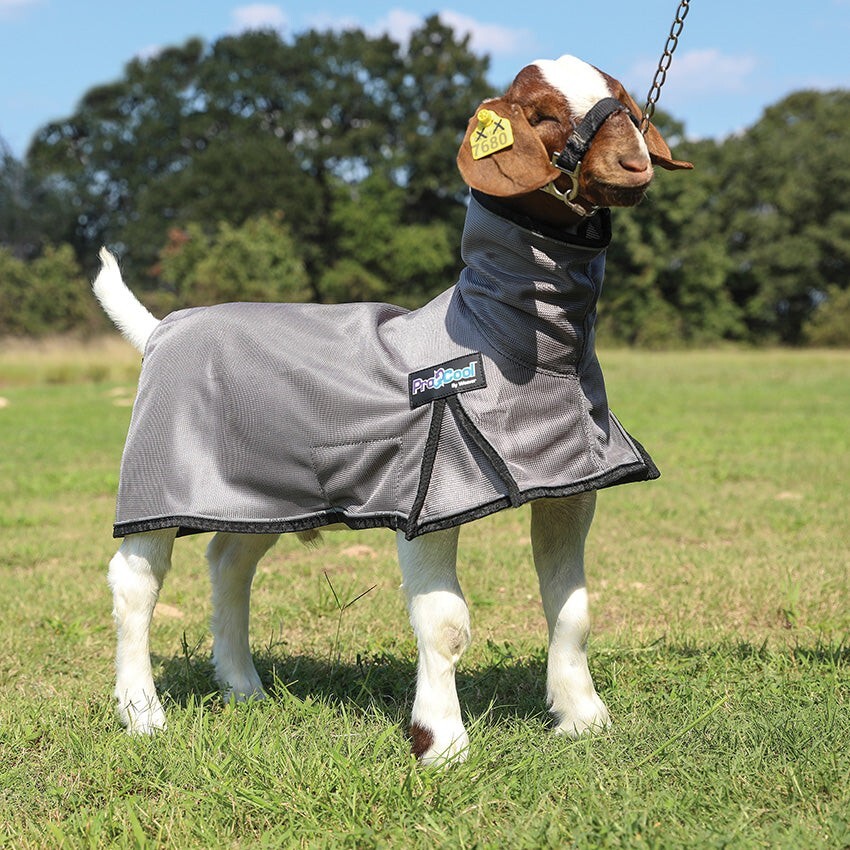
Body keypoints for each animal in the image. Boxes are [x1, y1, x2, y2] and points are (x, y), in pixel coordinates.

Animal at [93, 54, 691, 765]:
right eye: (543, 113)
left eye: (622, 98)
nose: (633, 163)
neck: (511, 342)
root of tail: (159, 330)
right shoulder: (429, 493)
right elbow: (447, 623)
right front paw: (441, 742)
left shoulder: (568, 484)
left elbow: (572, 610)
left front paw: (582, 718)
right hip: (159, 480)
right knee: (136, 584)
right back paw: (141, 714)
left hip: (261, 489)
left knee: (230, 562)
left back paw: (242, 686)